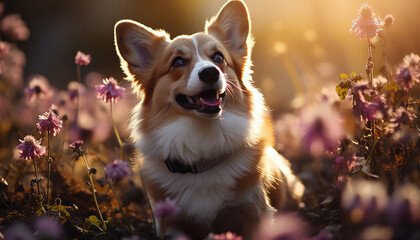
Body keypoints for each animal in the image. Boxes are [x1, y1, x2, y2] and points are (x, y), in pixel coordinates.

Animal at [115, 0, 306, 239]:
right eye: (178, 61)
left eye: (218, 58)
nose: (210, 73)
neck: (203, 146)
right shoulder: (173, 225)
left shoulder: (253, 211)